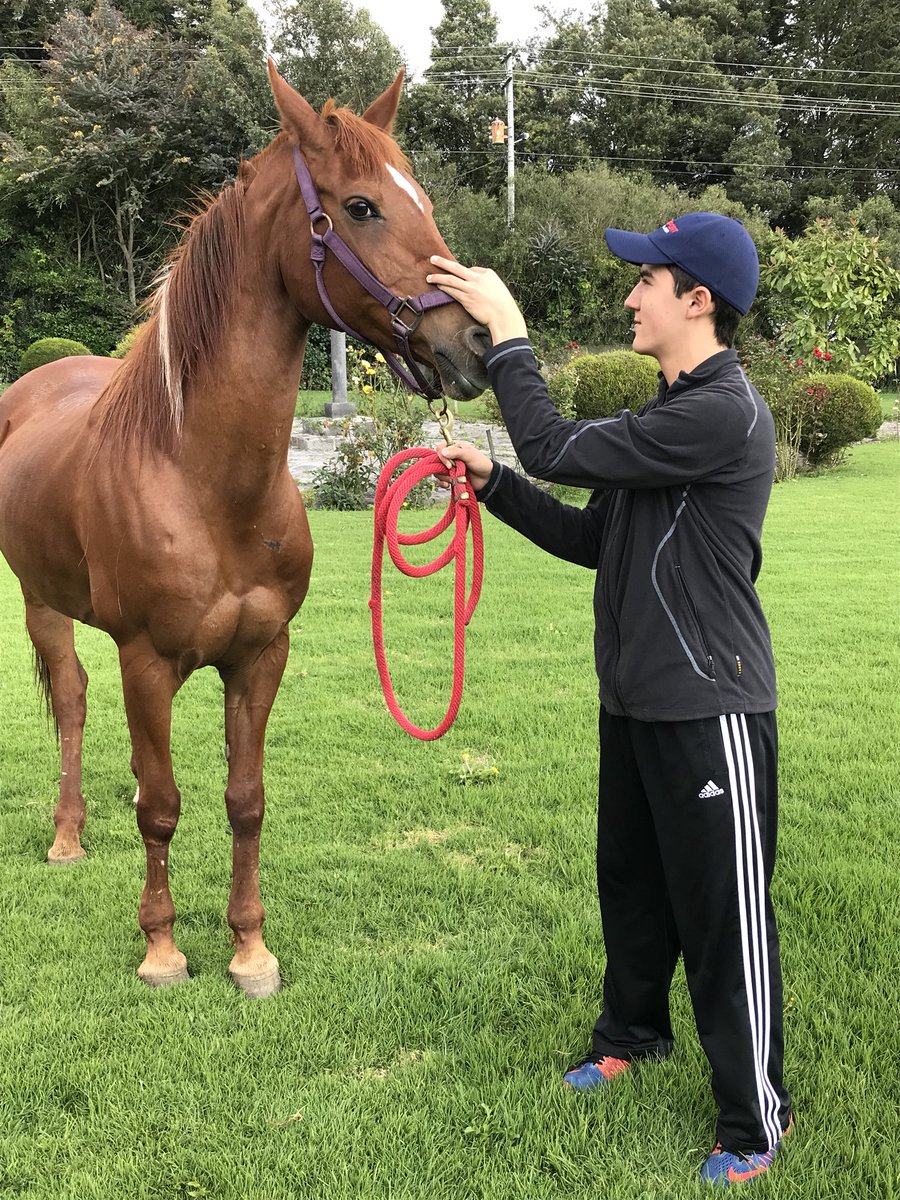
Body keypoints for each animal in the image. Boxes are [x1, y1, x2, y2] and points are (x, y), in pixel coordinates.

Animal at [0, 62, 489, 997]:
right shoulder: (147, 660)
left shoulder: (261, 656)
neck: (204, 483)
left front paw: (249, 948)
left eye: (420, 196)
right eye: (362, 206)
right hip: (43, 603)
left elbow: (245, 801)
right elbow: (162, 809)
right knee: (73, 702)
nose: (477, 340)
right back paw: (68, 836)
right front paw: (162, 950)